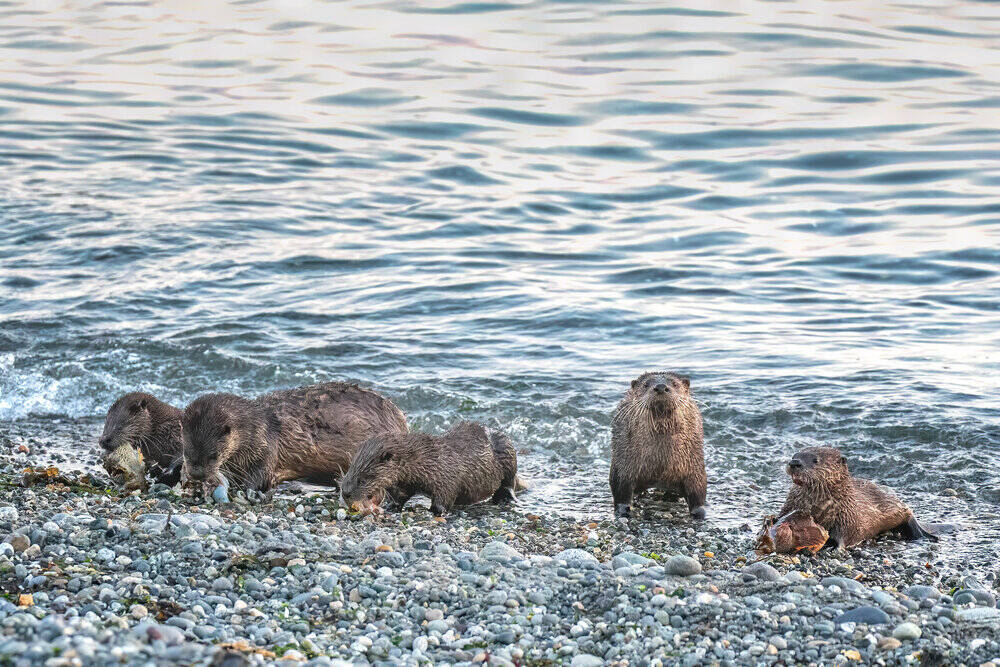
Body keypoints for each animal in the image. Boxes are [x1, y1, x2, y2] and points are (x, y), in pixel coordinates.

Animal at [181, 382, 407, 496]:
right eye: (186, 452)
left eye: (213, 455)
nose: (198, 474)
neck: (258, 426)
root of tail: (400, 419)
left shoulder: (266, 448)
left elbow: (261, 478)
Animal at [339, 421, 525, 516]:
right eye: (349, 471)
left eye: (363, 479)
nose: (345, 493)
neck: (427, 460)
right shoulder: (405, 482)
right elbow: (401, 495)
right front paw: (391, 506)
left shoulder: (447, 477)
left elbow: (445, 497)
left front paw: (436, 511)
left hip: (508, 454)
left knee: (509, 482)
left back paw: (507, 498)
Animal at [610, 371, 706, 519]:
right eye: (646, 385)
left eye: (675, 384)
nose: (660, 387)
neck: (660, 463)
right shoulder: (623, 466)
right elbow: (621, 492)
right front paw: (622, 511)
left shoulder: (694, 467)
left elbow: (698, 494)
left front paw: (699, 513)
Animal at [779, 446, 937, 550]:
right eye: (794, 455)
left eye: (815, 460)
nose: (794, 463)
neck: (820, 506)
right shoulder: (791, 504)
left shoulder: (848, 516)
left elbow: (847, 534)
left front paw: (837, 548)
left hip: (896, 504)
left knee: (909, 514)